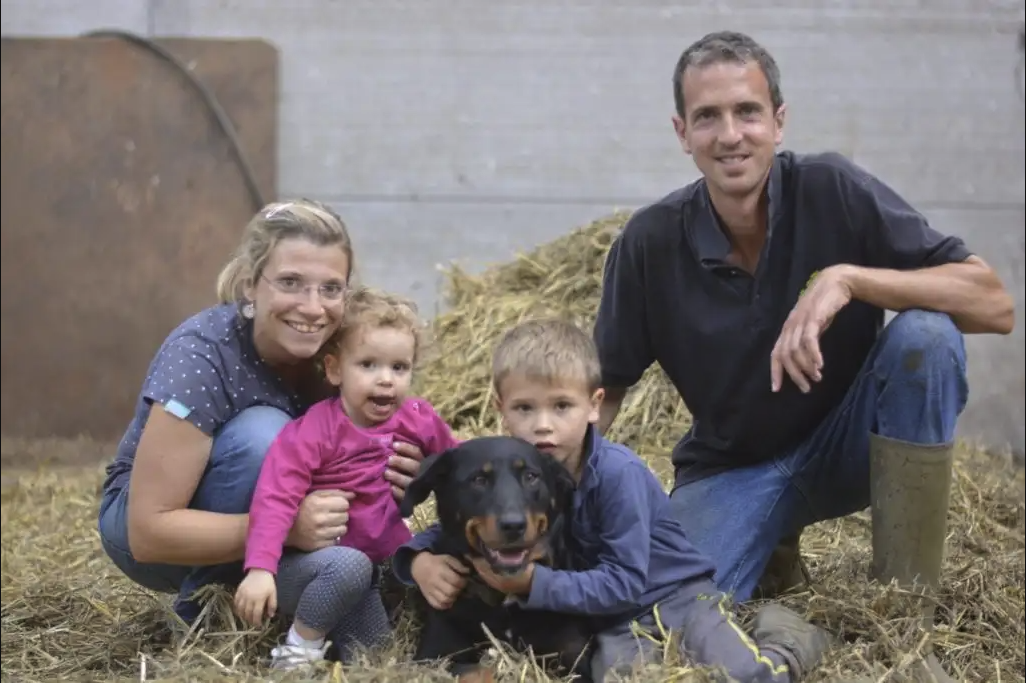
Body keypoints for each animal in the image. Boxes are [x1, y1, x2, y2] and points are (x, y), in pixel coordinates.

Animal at [398, 432, 595, 676]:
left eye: (531, 476)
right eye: (479, 480)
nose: (513, 525)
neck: (504, 602)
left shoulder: (572, 658)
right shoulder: (434, 655)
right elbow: (474, 671)